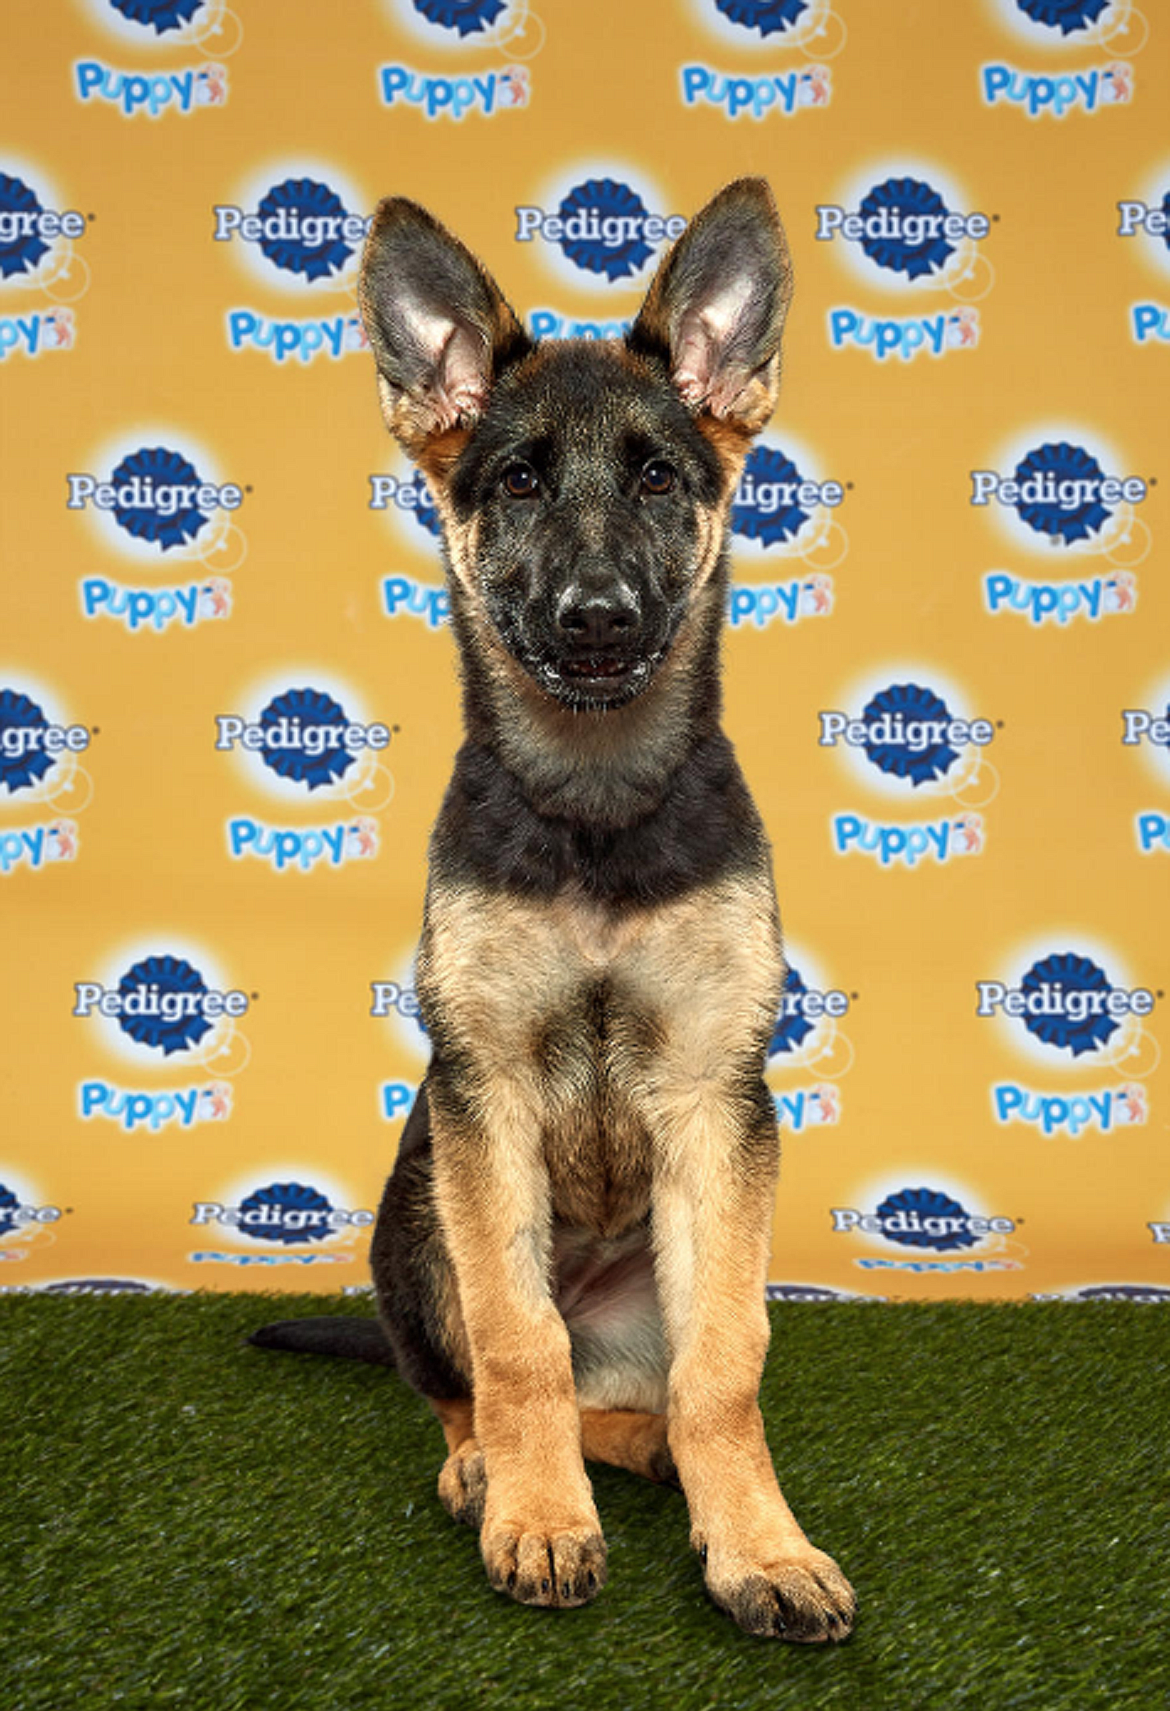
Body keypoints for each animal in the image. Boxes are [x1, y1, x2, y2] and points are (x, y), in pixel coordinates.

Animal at [256, 183, 855, 1642]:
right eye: (518, 480)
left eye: (658, 478)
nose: (595, 619)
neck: (594, 806)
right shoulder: (487, 1094)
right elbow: (516, 1341)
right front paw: (536, 1517)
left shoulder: (716, 1100)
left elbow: (726, 1363)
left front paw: (759, 1544)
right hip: (419, 1212)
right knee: (486, 1375)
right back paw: (492, 1467)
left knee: (635, 1397)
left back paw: (657, 1460)